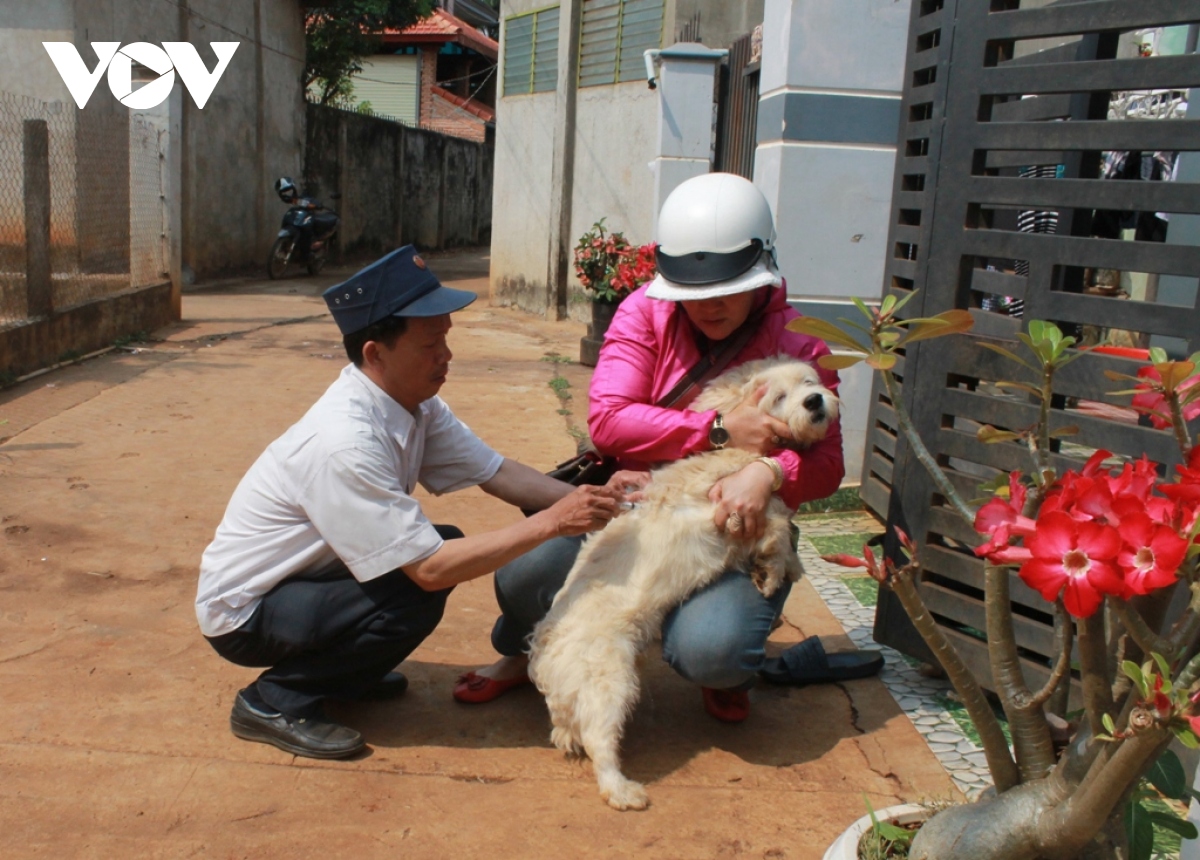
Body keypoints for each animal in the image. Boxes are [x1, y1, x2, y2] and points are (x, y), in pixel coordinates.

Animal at [530, 357, 840, 810]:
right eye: (780, 396)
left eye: (809, 381)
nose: (816, 400)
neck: (734, 453)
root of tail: (545, 652)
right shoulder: (740, 511)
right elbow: (779, 527)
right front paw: (778, 571)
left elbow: (781, 520)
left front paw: (777, 568)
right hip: (609, 683)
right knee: (600, 743)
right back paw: (622, 790)